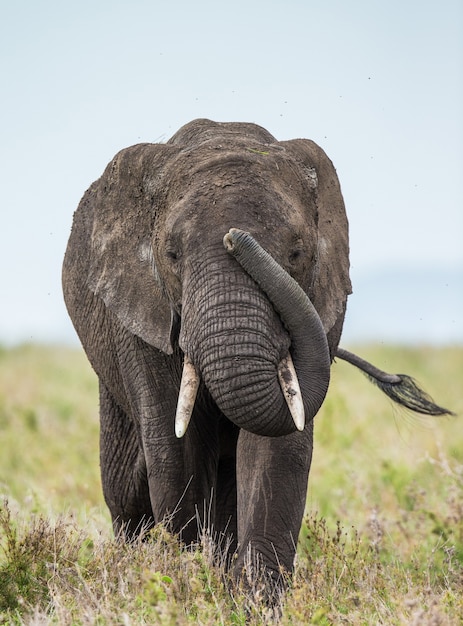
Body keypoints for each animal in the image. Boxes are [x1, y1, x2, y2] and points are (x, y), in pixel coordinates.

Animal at [62, 118, 454, 596]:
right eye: (171, 254)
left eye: (297, 253)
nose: (236, 237)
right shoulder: (140, 317)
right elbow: (176, 449)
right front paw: (187, 584)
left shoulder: (324, 306)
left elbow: (278, 446)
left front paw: (252, 599)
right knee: (125, 487)